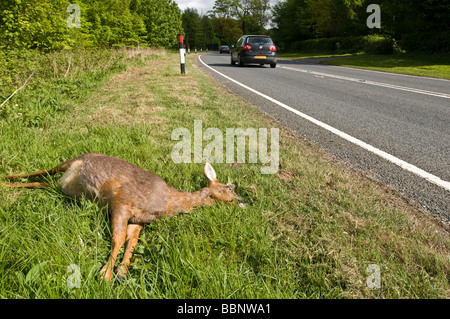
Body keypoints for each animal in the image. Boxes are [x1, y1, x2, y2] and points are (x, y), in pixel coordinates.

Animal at [3, 155, 243, 282]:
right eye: (230, 188)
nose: (243, 201)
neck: (164, 201)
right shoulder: (121, 202)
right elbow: (117, 239)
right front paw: (105, 273)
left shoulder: (138, 220)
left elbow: (131, 242)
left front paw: (122, 270)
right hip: (74, 161)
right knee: (41, 171)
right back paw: (5, 178)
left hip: (66, 190)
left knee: (41, 182)